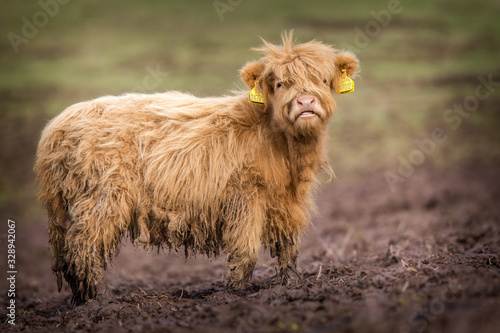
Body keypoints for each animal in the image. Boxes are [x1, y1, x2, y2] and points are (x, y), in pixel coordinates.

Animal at [35, 32, 360, 304]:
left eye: (323, 80)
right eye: (280, 84)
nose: (306, 102)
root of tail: (58, 124)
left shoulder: (289, 201)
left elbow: (288, 247)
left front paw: (291, 285)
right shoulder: (245, 196)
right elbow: (245, 251)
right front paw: (234, 293)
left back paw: (82, 299)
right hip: (101, 201)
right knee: (84, 247)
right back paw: (98, 302)